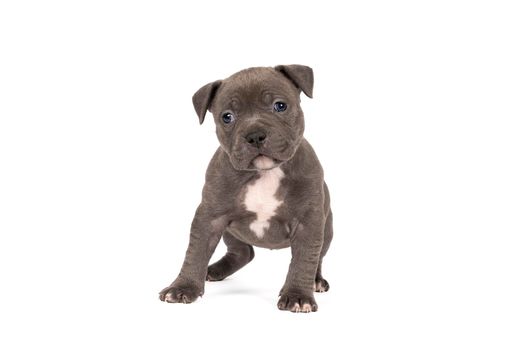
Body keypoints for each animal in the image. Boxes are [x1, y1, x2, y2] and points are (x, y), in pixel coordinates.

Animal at [158, 64, 334, 314]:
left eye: (280, 106)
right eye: (227, 117)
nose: (255, 135)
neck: (264, 173)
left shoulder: (308, 223)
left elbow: (304, 259)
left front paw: (298, 296)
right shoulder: (210, 218)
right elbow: (195, 252)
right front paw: (183, 287)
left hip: (327, 230)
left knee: (317, 258)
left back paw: (316, 281)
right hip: (230, 231)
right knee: (243, 253)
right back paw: (214, 270)